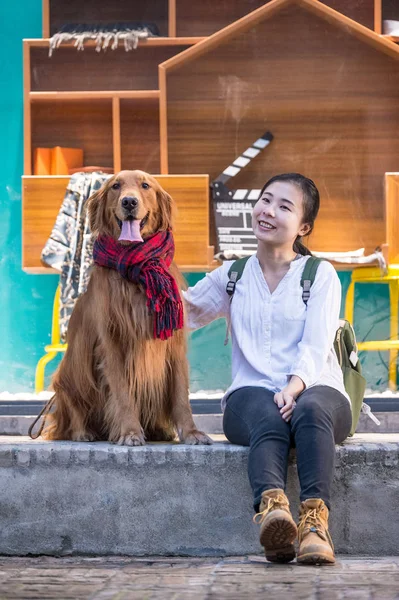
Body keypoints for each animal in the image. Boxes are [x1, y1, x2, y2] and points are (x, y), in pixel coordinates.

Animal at [42, 170, 212, 446]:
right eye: (115, 186)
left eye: (145, 185)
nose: (129, 202)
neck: (138, 269)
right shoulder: (112, 343)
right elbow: (123, 394)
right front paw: (129, 432)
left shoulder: (173, 344)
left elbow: (180, 394)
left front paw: (191, 432)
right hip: (70, 373)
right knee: (70, 406)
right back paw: (82, 432)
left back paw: (158, 430)